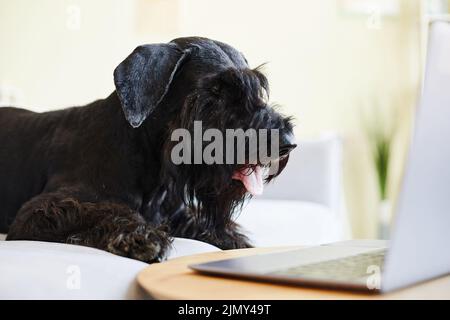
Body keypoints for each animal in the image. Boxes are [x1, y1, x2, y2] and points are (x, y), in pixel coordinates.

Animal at [0, 37, 296, 262]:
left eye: (258, 88)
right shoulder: (40, 210)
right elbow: (103, 210)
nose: (287, 141)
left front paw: (238, 242)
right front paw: (141, 235)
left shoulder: (176, 215)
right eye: (215, 92)